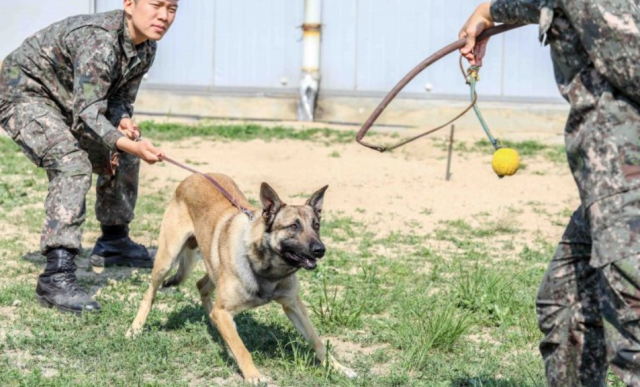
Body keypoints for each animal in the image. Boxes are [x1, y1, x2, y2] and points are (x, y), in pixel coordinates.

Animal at [127, 174, 358, 386]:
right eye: (293, 226)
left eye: (316, 225)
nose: (320, 250)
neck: (266, 268)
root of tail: (194, 176)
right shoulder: (224, 310)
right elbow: (241, 348)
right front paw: (253, 375)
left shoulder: (294, 305)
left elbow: (317, 341)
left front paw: (338, 368)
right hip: (167, 259)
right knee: (150, 293)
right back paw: (135, 328)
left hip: (212, 265)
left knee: (202, 286)